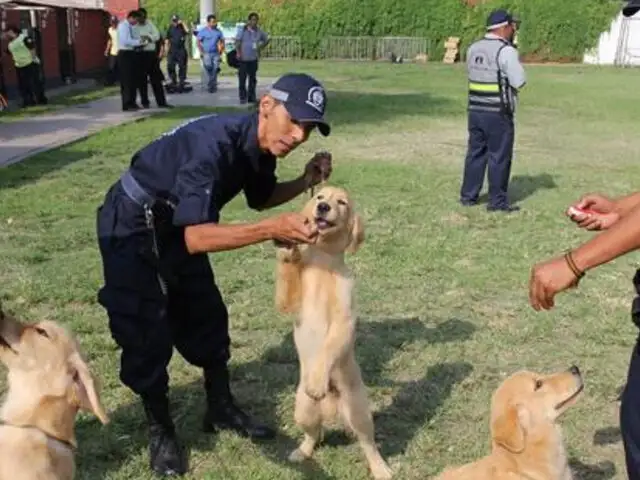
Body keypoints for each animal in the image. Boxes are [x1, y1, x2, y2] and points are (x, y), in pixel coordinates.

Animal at [272, 186, 392, 478]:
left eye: (342, 202)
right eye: (319, 197)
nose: (324, 208)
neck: (324, 262)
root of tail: (331, 407)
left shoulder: (344, 319)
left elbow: (328, 347)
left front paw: (317, 381)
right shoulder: (291, 303)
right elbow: (286, 281)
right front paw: (287, 250)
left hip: (358, 409)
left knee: (368, 442)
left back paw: (380, 468)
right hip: (302, 409)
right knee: (314, 434)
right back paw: (301, 452)